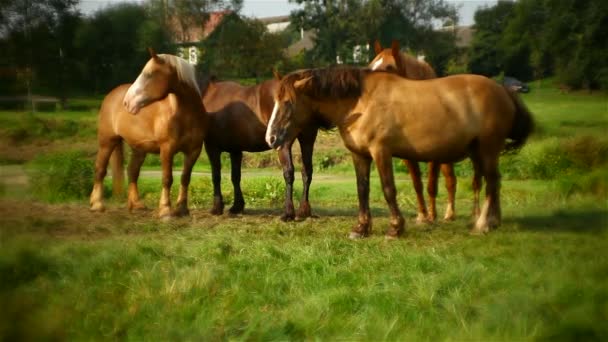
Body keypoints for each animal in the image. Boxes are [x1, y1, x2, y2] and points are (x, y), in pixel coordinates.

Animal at [88, 48, 207, 219]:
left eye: (149, 74)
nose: (127, 102)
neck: (185, 115)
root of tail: (111, 94)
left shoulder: (193, 151)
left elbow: (185, 178)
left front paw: (182, 209)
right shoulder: (167, 149)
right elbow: (167, 178)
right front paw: (165, 210)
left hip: (139, 148)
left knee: (132, 171)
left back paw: (136, 205)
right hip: (107, 142)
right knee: (100, 169)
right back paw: (96, 204)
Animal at [201, 73, 324, 220]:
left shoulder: (212, 147)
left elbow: (216, 176)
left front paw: (217, 207)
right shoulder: (235, 150)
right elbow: (235, 176)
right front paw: (237, 206)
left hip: (283, 143)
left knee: (289, 173)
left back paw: (288, 212)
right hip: (307, 139)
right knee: (307, 172)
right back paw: (303, 211)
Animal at [266, 66, 532, 238]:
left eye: (288, 102)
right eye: (275, 101)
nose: (271, 138)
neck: (360, 101)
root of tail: (504, 91)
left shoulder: (381, 151)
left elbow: (388, 189)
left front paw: (395, 227)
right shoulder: (360, 155)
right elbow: (362, 190)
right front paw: (361, 229)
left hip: (488, 149)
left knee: (491, 183)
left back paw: (483, 224)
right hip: (479, 151)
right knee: (493, 182)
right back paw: (493, 221)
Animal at [366, 40, 456, 223]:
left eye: (389, 67)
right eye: (371, 65)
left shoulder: (435, 155)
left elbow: (431, 185)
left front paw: (432, 215)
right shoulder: (407, 156)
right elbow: (417, 184)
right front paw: (422, 215)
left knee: (451, 180)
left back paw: (450, 214)